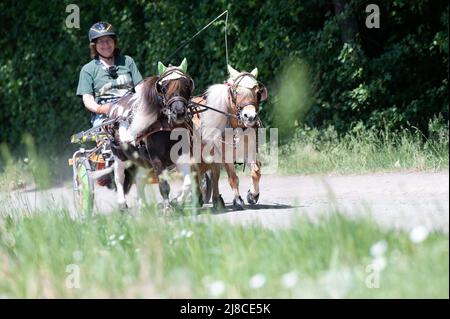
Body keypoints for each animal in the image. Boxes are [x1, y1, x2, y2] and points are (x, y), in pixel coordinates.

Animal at [104, 58, 200, 214]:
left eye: (186, 84)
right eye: (164, 87)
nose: (179, 112)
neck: (166, 125)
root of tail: (113, 107)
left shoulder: (183, 154)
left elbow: (187, 182)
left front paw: (177, 202)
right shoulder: (156, 159)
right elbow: (164, 185)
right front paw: (167, 207)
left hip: (141, 159)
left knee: (139, 179)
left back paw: (142, 205)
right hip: (119, 155)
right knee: (119, 178)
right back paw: (122, 204)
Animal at [191, 64, 268, 211]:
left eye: (257, 92)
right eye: (236, 92)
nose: (250, 117)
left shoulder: (250, 149)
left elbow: (256, 172)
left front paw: (252, 195)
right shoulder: (225, 154)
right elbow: (233, 177)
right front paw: (238, 200)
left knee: (213, 174)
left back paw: (216, 200)